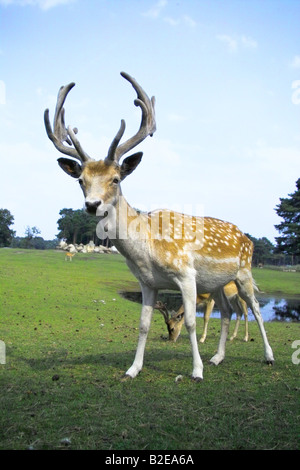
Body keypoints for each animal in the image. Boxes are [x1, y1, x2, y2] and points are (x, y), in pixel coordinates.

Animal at [44, 71, 274, 380]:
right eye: (81, 180)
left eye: (116, 178)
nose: (92, 205)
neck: (147, 251)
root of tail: (247, 237)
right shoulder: (147, 282)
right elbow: (143, 325)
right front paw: (133, 369)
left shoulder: (186, 274)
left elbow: (189, 322)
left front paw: (196, 371)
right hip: (216, 282)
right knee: (226, 312)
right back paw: (217, 357)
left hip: (244, 272)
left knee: (256, 308)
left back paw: (268, 356)